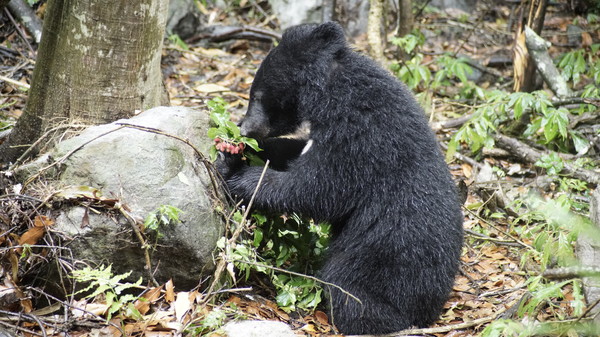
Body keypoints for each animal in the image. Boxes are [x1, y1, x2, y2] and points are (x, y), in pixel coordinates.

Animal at [220, 21, 464, 334]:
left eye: (256, 96)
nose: (244, 127)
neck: (330, 92)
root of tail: (431, 309)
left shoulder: (361, 138)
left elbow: (319, 187)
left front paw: (241, 175)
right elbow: (295, 152)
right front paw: (237, 151)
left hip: (380, 259)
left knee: (350, 288)